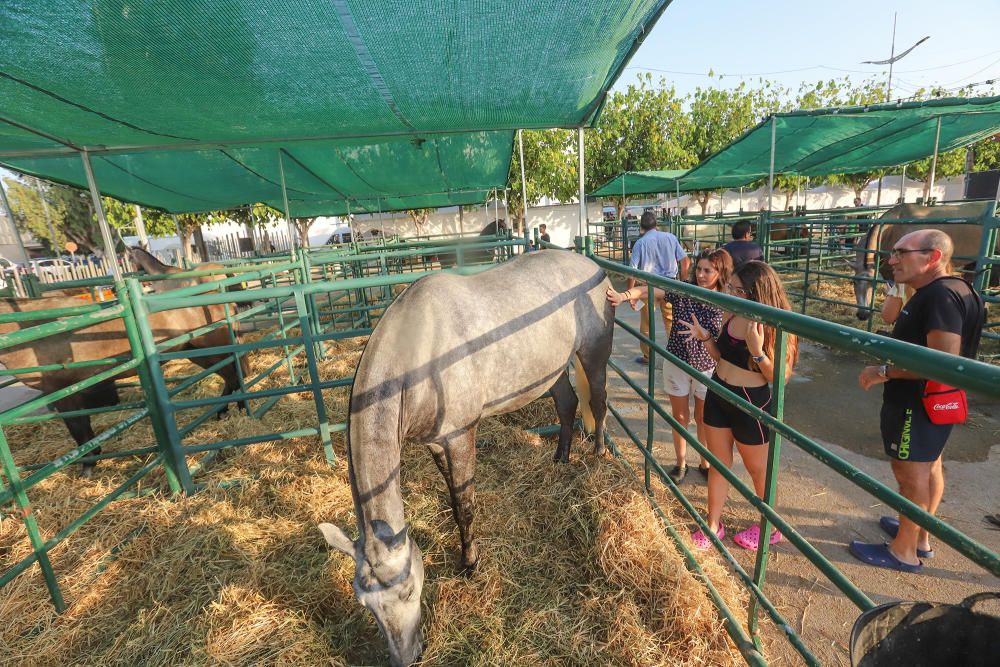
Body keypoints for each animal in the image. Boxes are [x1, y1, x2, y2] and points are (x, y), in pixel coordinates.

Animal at [316, 252, 612, 667]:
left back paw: (599, 453)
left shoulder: (460, 436)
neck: (420, 356)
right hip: (550, 370)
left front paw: (470, 564)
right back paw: (560, 457)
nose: (407, 659)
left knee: (598, 403)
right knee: (567, 403)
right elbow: (453, 501)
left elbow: (465, 506)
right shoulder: (435, 443)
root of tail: (592, 265)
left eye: (410, 592)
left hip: (593, 355)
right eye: (366, 604)